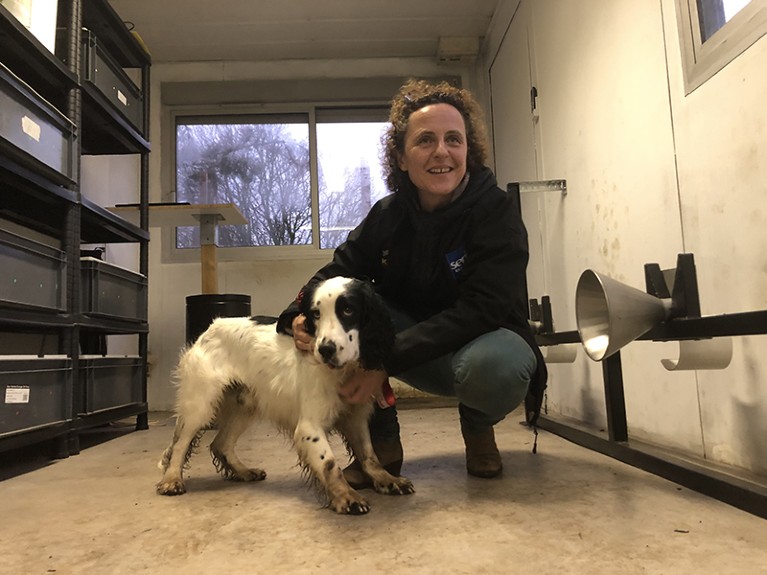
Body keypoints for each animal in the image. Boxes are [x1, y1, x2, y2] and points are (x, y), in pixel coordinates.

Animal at [155, 276, 414, 516]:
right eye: (315, 314)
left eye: (348, 310)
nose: (325, 350)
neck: (342, 371)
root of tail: (211, 326)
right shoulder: (309, 428)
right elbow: (330, 463)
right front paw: (346, 497)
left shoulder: (355, 417)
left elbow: (370, 455)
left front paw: (388, 480)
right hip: (201, 404)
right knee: (180, 444)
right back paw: (171, 480)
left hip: (246, 405)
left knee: (220, 444)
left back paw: (244, 471)